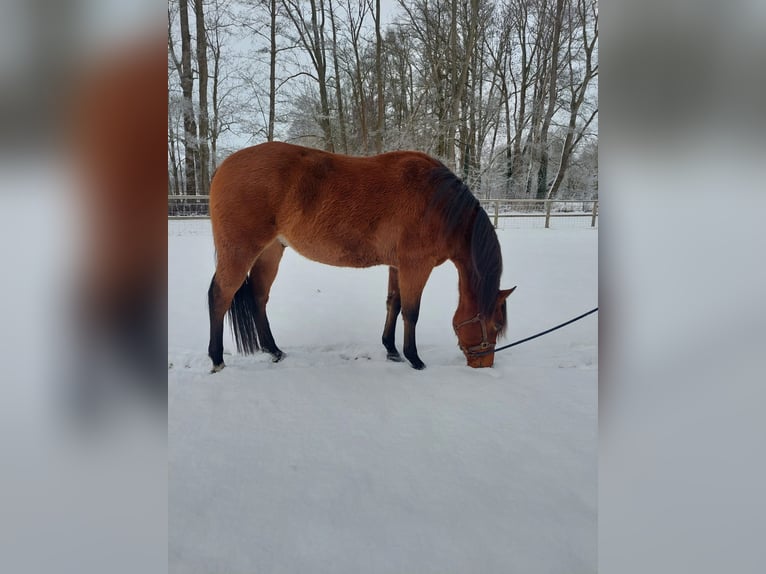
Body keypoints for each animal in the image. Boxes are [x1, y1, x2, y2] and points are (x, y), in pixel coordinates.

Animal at [207, 141, 516, 371]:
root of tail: (225, 166)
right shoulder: (416, 266)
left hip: (270, 252)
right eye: (495, 325)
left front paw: (392, 350)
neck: (439, 204)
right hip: (240, 250)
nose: (484, 364)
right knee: (220, 296)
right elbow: (411, 312)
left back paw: (274, 351)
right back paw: (217, 359)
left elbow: (394, 304)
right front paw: (414, 359)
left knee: (259, 297)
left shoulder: (397, 266)